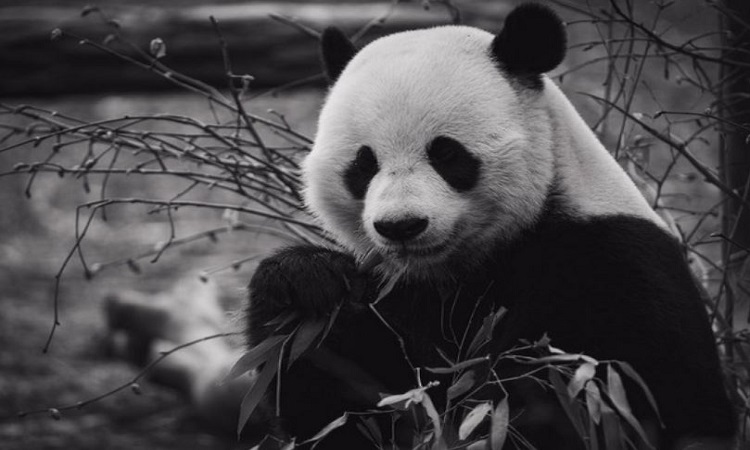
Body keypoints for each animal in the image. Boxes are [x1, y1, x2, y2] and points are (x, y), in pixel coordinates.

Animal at [246, 3, 736, 449]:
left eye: (446, 153)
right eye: (363, 164)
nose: (401, 226)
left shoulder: (615, 264)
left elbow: (627, 400)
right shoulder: (396, 295)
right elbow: (342, 409)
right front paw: (306, 280)